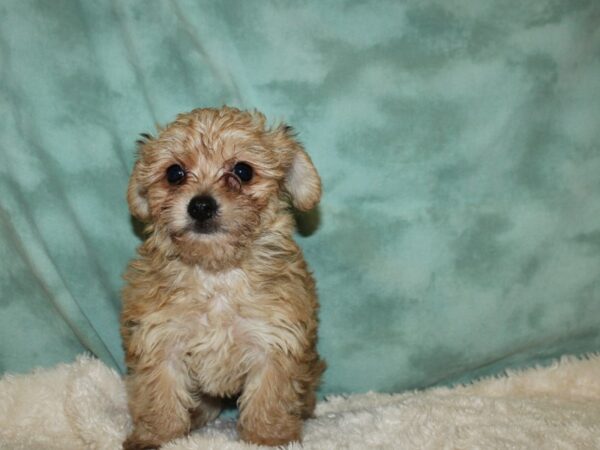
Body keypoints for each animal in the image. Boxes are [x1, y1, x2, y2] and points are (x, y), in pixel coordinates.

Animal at [120, 107, 324, 448]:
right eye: (174, 173)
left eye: (243, 171)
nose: (201, 205)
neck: (217, 274)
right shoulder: (160, 338)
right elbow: (159, 393)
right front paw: (158, 436)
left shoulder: (274, 339)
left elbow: (269, 395)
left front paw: (268, 436)